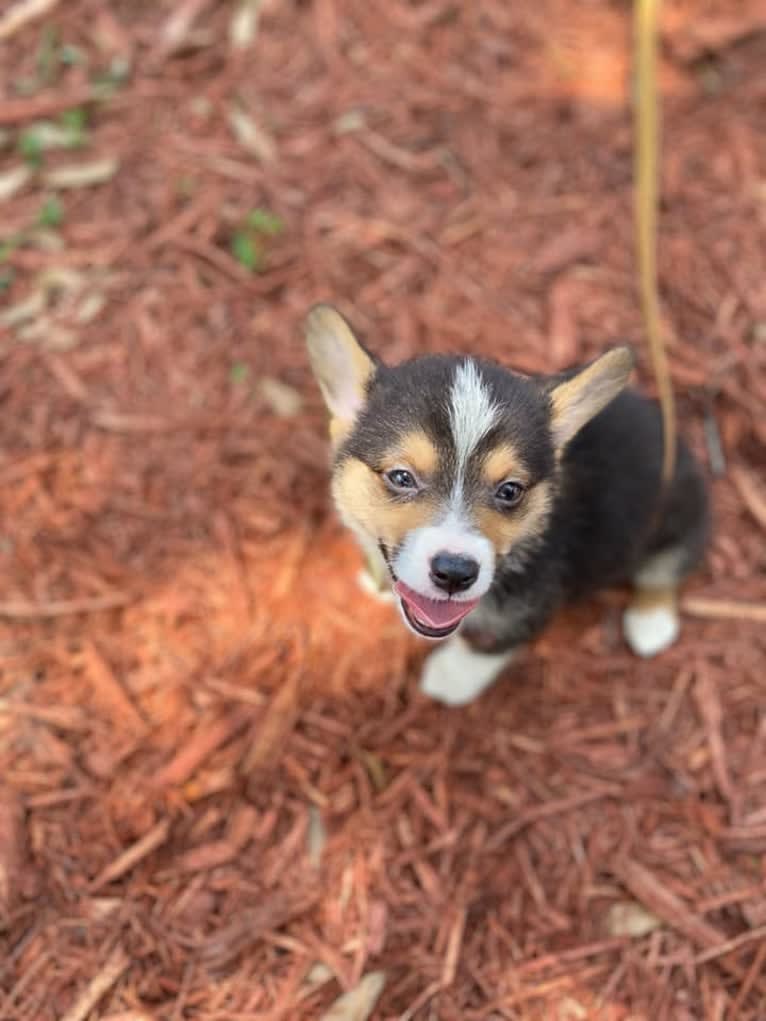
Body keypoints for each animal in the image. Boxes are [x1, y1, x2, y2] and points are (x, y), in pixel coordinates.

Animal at [302, 302, 710, 706]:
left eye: (510, 490)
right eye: (401, 478)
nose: (455, 573)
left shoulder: (528, 609)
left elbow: (488, 648)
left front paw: (450, 679)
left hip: (676, 518)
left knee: (667, 568)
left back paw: (651, 622)